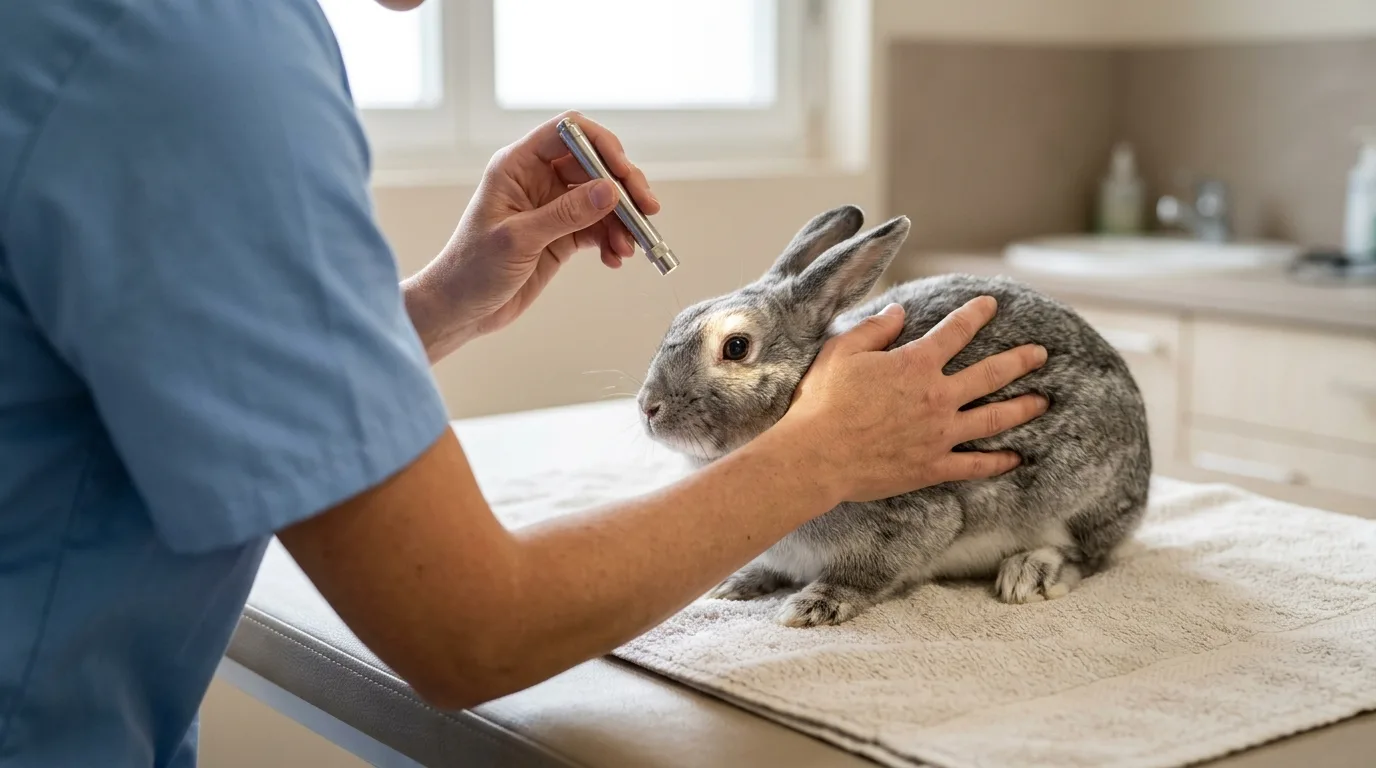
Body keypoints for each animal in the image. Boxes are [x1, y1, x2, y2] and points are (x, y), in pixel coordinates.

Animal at [635, 204, 1152, 628]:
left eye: (736, 347)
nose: (648, 408)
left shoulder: (913, 524)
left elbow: (866, 574)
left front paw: (813, 606)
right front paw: (736, 584)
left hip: (1077, 498)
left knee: (1088, 554)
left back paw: (1029, 574)